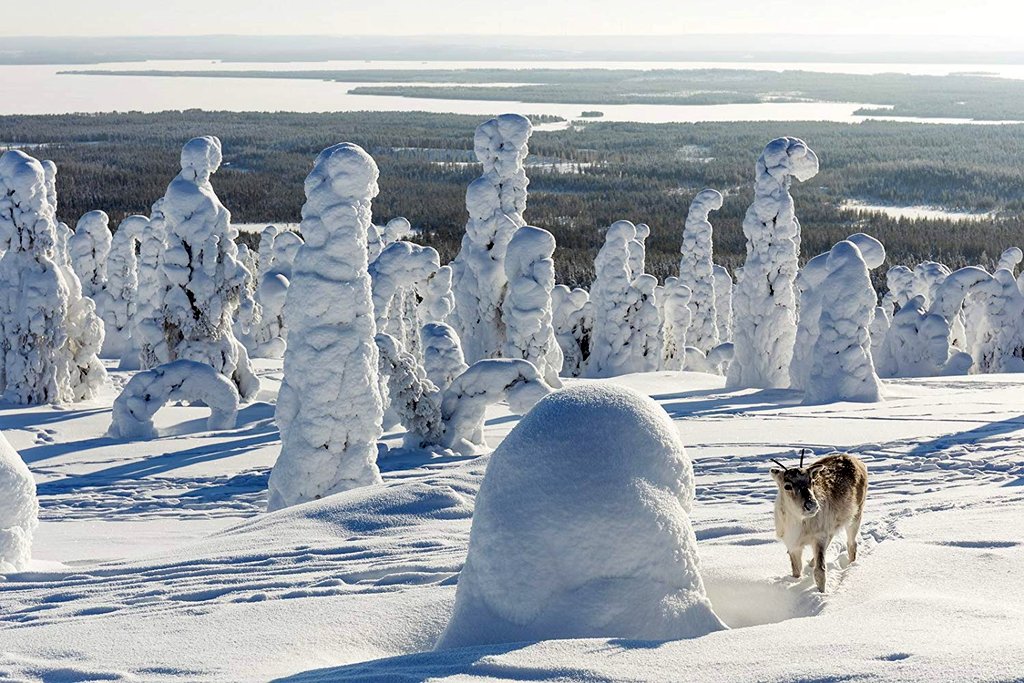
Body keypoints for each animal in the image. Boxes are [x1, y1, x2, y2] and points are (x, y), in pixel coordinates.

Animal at [770, 449, 868, 593]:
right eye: (787, 486)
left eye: (811, 481)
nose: (811, 505)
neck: (799, 522)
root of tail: (858, 461)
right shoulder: (792, 544)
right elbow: (796, 571)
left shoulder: (819, 537)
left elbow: (820, 571)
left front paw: (821, 592)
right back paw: (811, 562)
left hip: (856, 515)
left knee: (852, 544)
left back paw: (850, 566)